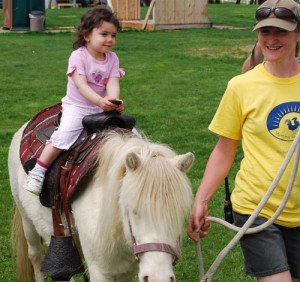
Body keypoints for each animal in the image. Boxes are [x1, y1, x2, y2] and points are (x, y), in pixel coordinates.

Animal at [8, 125, 195, 282]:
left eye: (178, 214)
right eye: (133, 211)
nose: (158, 278)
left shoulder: (125, 272)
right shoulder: (100, 273)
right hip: (27, 221)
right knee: (36, 255)